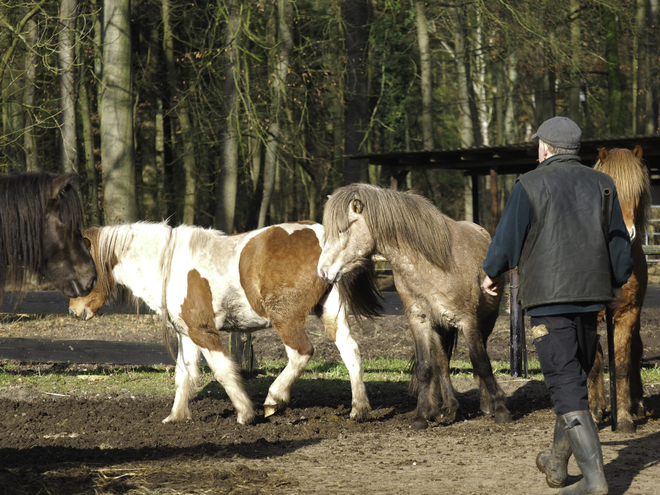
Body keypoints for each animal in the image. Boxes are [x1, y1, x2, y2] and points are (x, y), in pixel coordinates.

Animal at [69, 223, 378, 424]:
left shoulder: (203, 332)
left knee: (301, 353)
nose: (74, 310)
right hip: (330, 311)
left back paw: (274, 398)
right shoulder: (186, 334)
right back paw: (359, 409)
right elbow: (183, 374)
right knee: (351, 352)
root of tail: (321, 236)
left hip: (285, 319)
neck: (167, 264)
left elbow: (223, 371)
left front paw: (245, 414)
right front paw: (176, 417)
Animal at [318, 183, 512, 430]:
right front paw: (422, 415)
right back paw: (451, 408)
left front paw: (501, 408)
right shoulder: (419, 320)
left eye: (343, 230)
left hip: (486, 320)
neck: (431, 263)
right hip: (439, 326)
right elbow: (425, 368)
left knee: (477, 357)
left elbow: (482, 362)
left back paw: (485, 404)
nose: (322, 272)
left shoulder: (468, 321)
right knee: (442, 363)